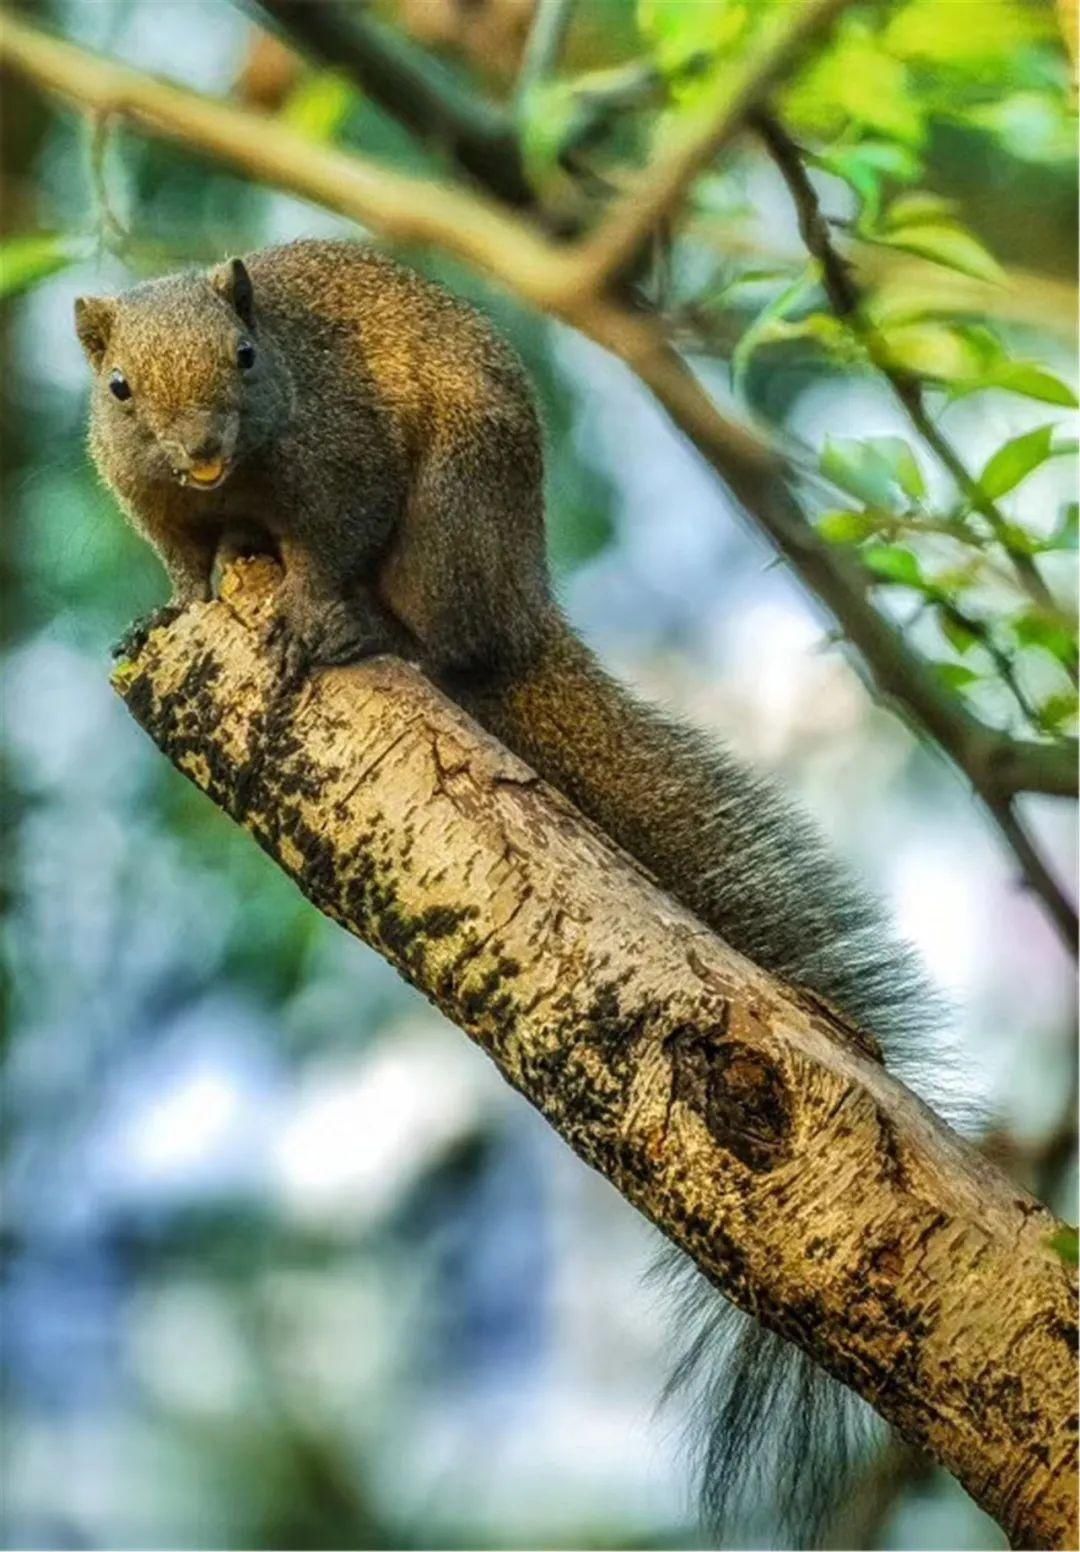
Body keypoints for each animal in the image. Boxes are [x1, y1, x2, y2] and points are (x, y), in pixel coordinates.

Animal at [76, 235, 943, 1545]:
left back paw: (375, 631)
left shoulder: (341, 457)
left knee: (444, 636)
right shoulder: (156, 498)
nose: (207, 450)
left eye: (247, 356)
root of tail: (524, 599)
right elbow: (184, 560)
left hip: (451, 518)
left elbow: (328, 541)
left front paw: (307, 611)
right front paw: (188, 597)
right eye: (120, 390)